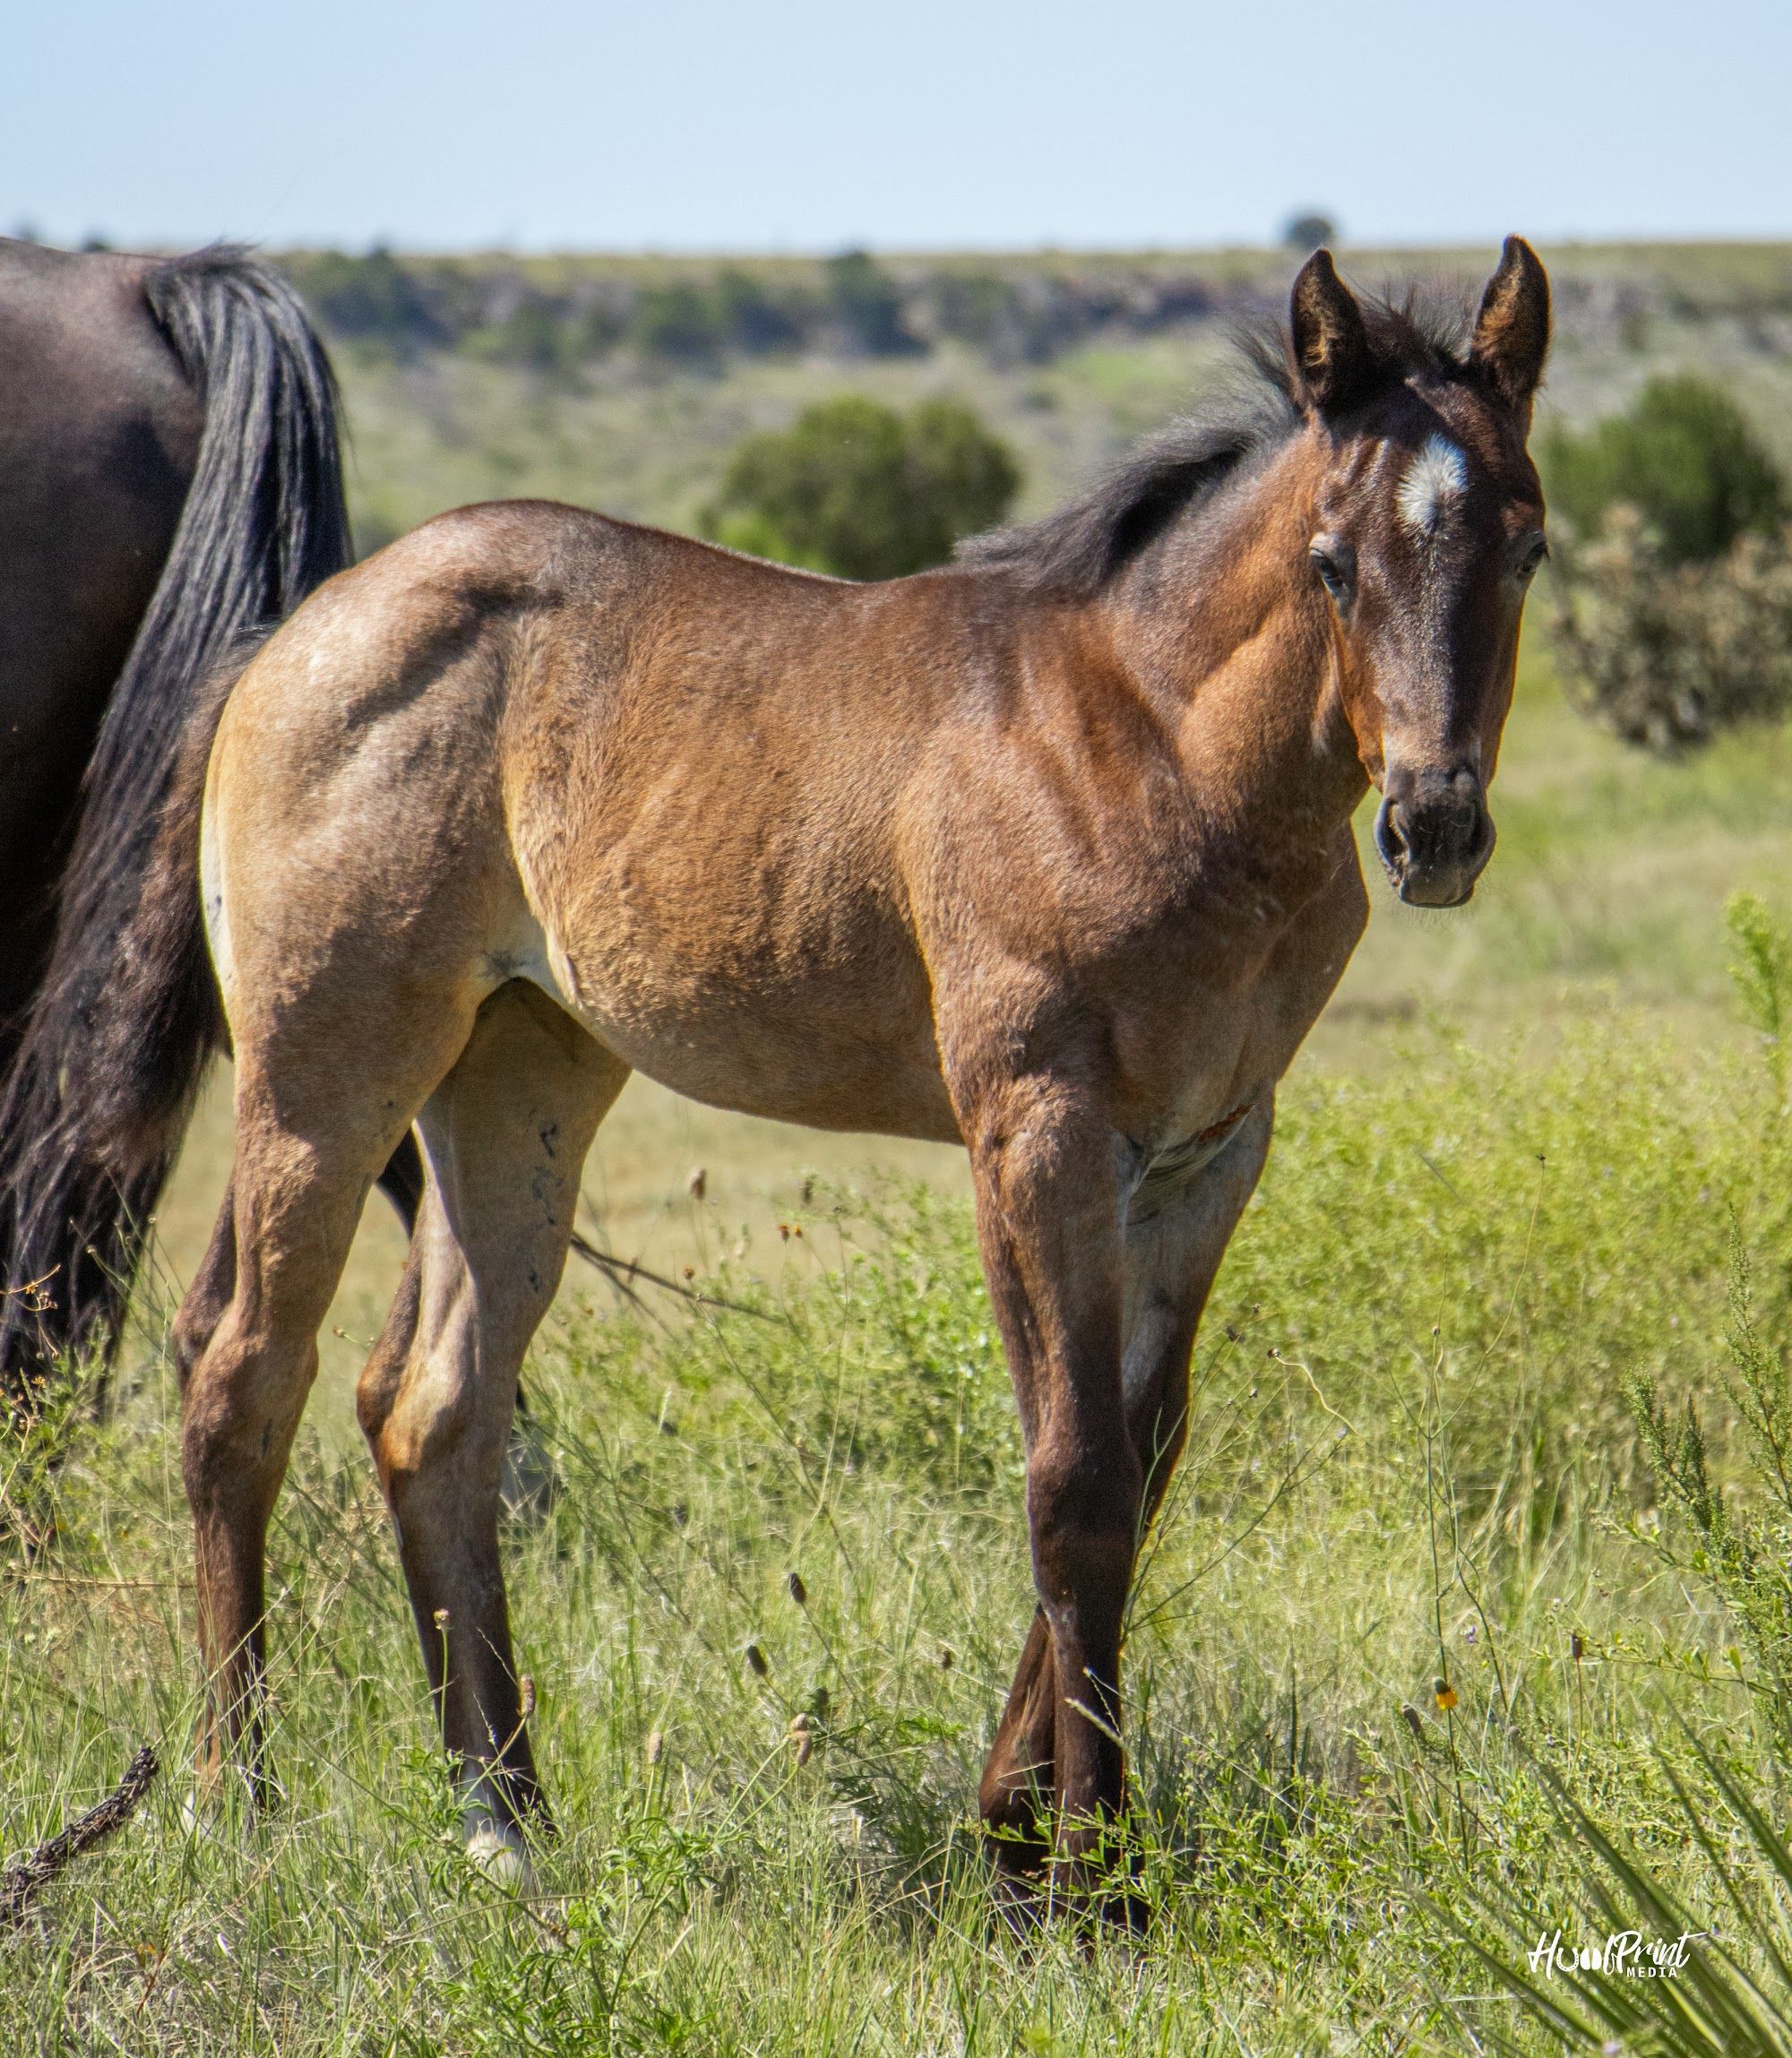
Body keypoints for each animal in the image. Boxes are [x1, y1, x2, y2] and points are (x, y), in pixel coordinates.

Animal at [87, 237, 1550, 1906]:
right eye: (1330, 561)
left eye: (1527, 549)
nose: (1435, 827)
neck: (1154, 745)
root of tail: (289, 640)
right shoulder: (1037, 1132)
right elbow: (1073, 1480)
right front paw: (1086, 1873)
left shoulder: (1208, 1154)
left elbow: (1143, 1459)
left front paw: (1019, 1821)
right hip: (324, 1070)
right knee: (240, 1375)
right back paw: (234, 1803)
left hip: (516, 1081)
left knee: (432, 1412)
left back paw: (507, 1821)